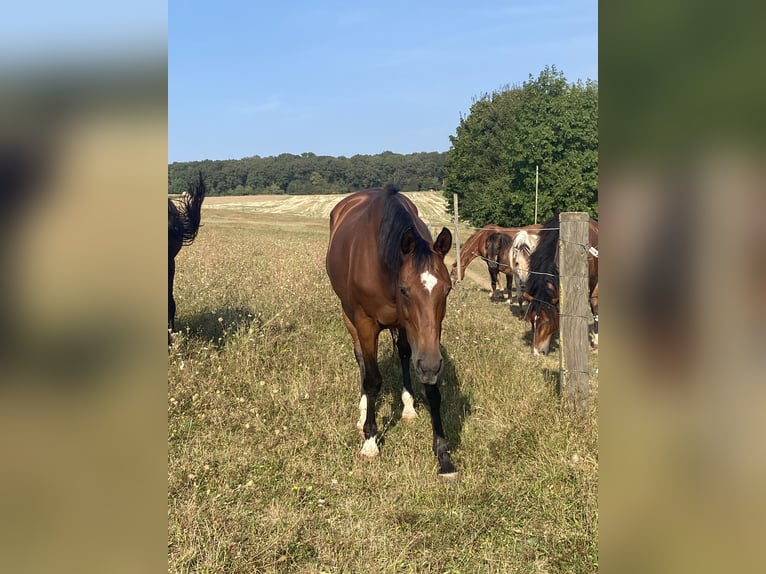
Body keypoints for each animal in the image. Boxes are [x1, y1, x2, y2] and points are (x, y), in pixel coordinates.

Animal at [328, 186, 460, 482]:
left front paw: (443, 455)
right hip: (349, 316)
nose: (431, 365)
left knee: (403, 355)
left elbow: (430, 387)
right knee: (361, 361)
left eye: (447, 290)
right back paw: (362, 412)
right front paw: (370, 441)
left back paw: (408, 406)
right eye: (404, 290)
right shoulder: (366, 324)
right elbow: (372, 380)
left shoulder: (420, 335)